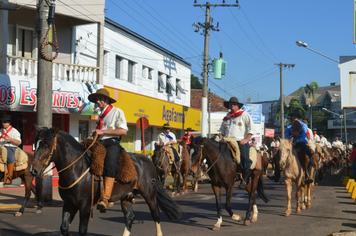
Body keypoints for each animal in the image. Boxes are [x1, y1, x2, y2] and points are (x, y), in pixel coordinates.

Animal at [29, 127, 182, 236]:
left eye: (46, 146)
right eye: (35, 144)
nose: (33, 170)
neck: (77, 168)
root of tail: (149, 161)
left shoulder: (85, 205)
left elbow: (82, 230)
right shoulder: (69, 204)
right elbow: (64, 228)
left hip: (149, 195)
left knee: (155, 215)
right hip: (126, 197)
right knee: (130, 218)